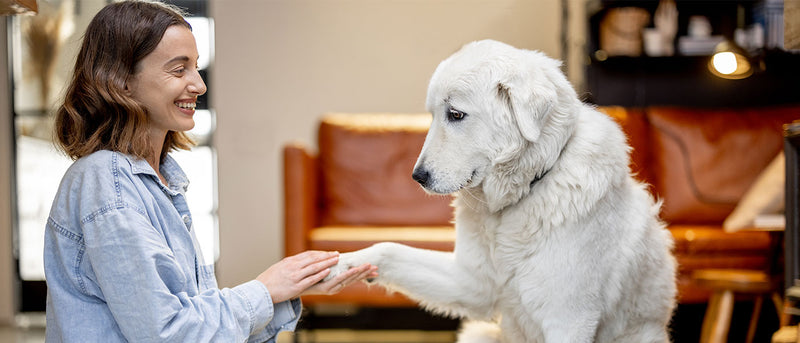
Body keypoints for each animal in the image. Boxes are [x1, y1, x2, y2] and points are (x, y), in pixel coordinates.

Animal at [328, 39, 680, 342]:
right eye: (433, 115)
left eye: (455, 114)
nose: (417, 177)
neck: (524, 193)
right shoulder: (470, 283)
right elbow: (389, 248)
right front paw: (342, 265)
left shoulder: (568, 320)